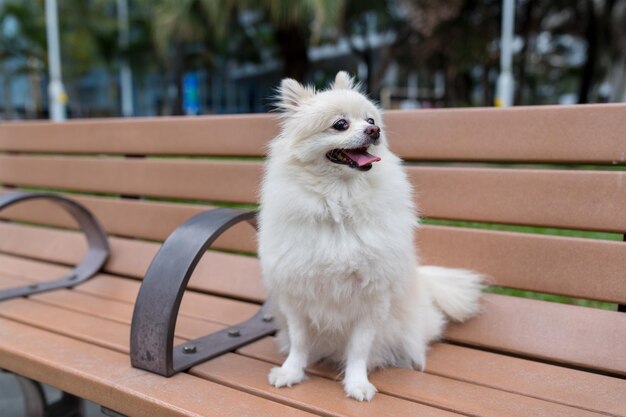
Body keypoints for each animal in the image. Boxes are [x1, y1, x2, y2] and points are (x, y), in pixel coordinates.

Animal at [256, 71, 480, 400]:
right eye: (340, 124)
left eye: (371, 119)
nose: (374, 130)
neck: (339, 202)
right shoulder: (297, 296)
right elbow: (299, 341)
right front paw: (291, 372)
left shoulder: (372, 298)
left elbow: (359, 348)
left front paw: (357, 383)